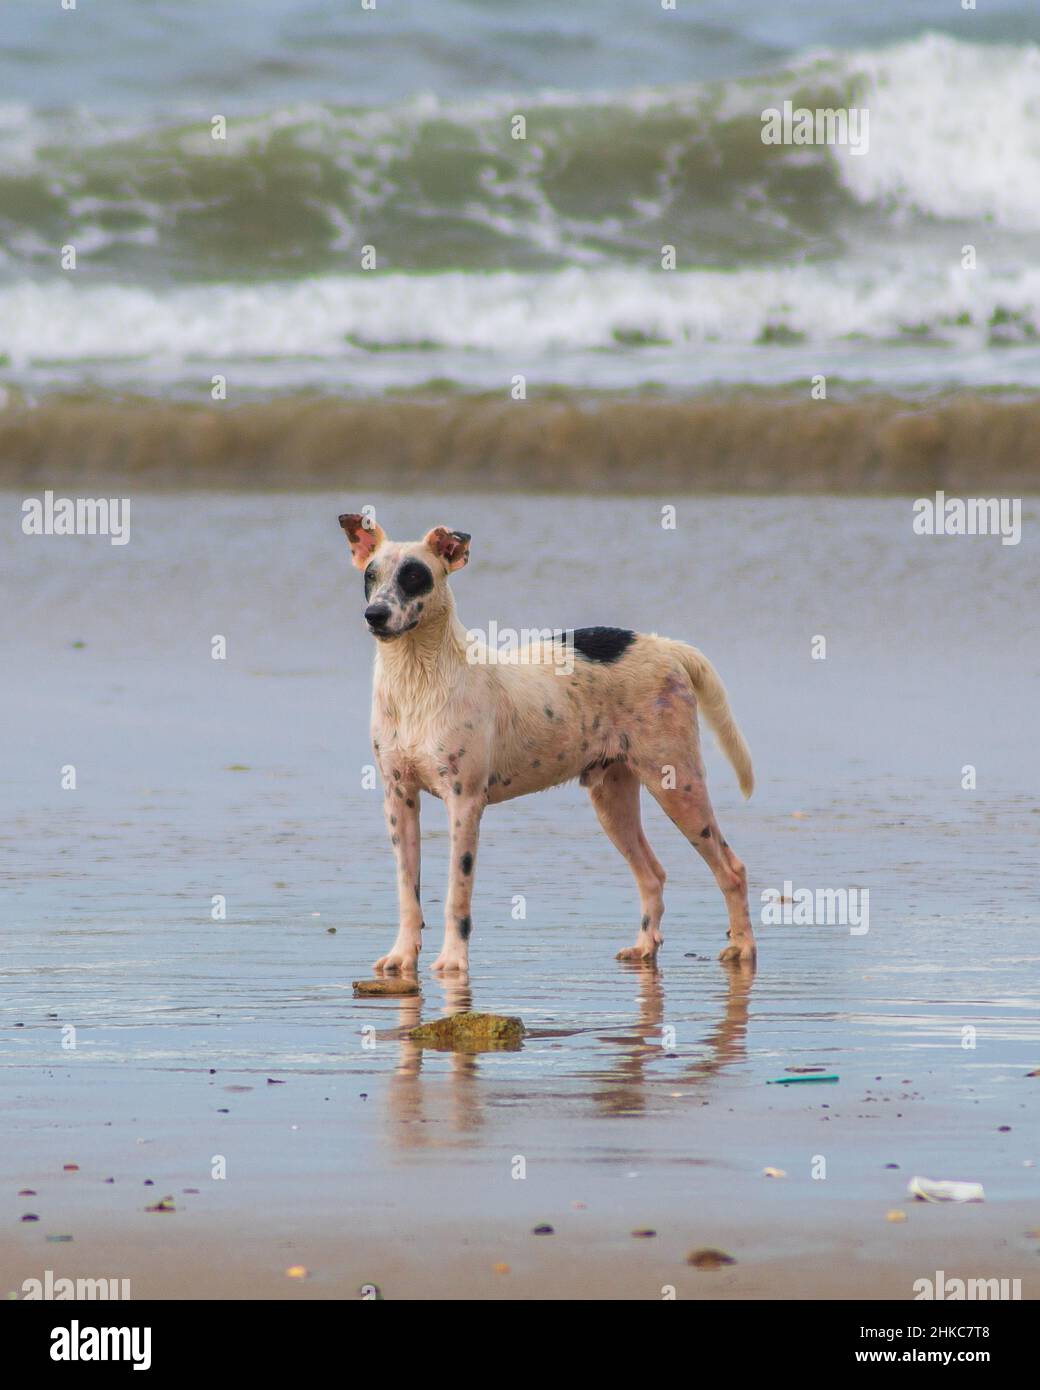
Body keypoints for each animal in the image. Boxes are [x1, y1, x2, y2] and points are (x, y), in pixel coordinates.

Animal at [340, 514, 756, 978]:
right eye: (370, 575)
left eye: (415, 575)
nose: (375, 614)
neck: (417, 680)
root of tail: (663, 645)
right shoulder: (399, 802)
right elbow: (407, 894)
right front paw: (402, 956)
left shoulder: (464, 805)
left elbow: (456, 896)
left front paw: (453, 961)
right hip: (612, 801)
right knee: (652, 874)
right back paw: (644, 946)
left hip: (678, 786)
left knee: (732, 869)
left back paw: (741, 948)